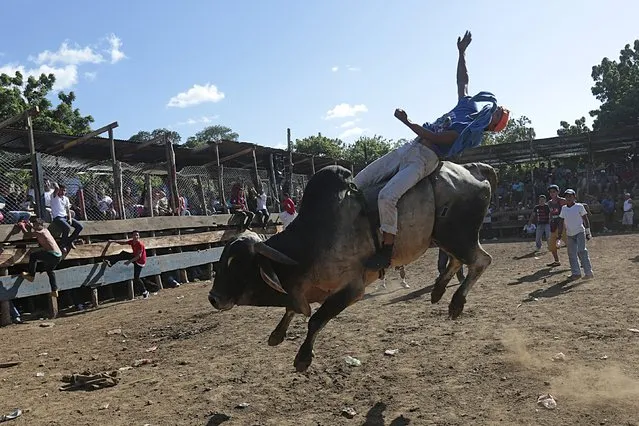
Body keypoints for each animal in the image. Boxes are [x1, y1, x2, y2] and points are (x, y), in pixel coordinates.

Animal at [208, 161, 498, 372]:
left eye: (238, 265)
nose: (214, 298)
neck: (310, 244)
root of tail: (474, 169)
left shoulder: (351, 289)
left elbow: (315, 320)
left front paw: (303, 358)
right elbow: (293, 309)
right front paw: (277, 334)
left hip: (458, 236)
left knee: (481, 261)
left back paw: (456, 302)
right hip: (444, 239)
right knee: (458, 260)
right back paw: (438, 291)